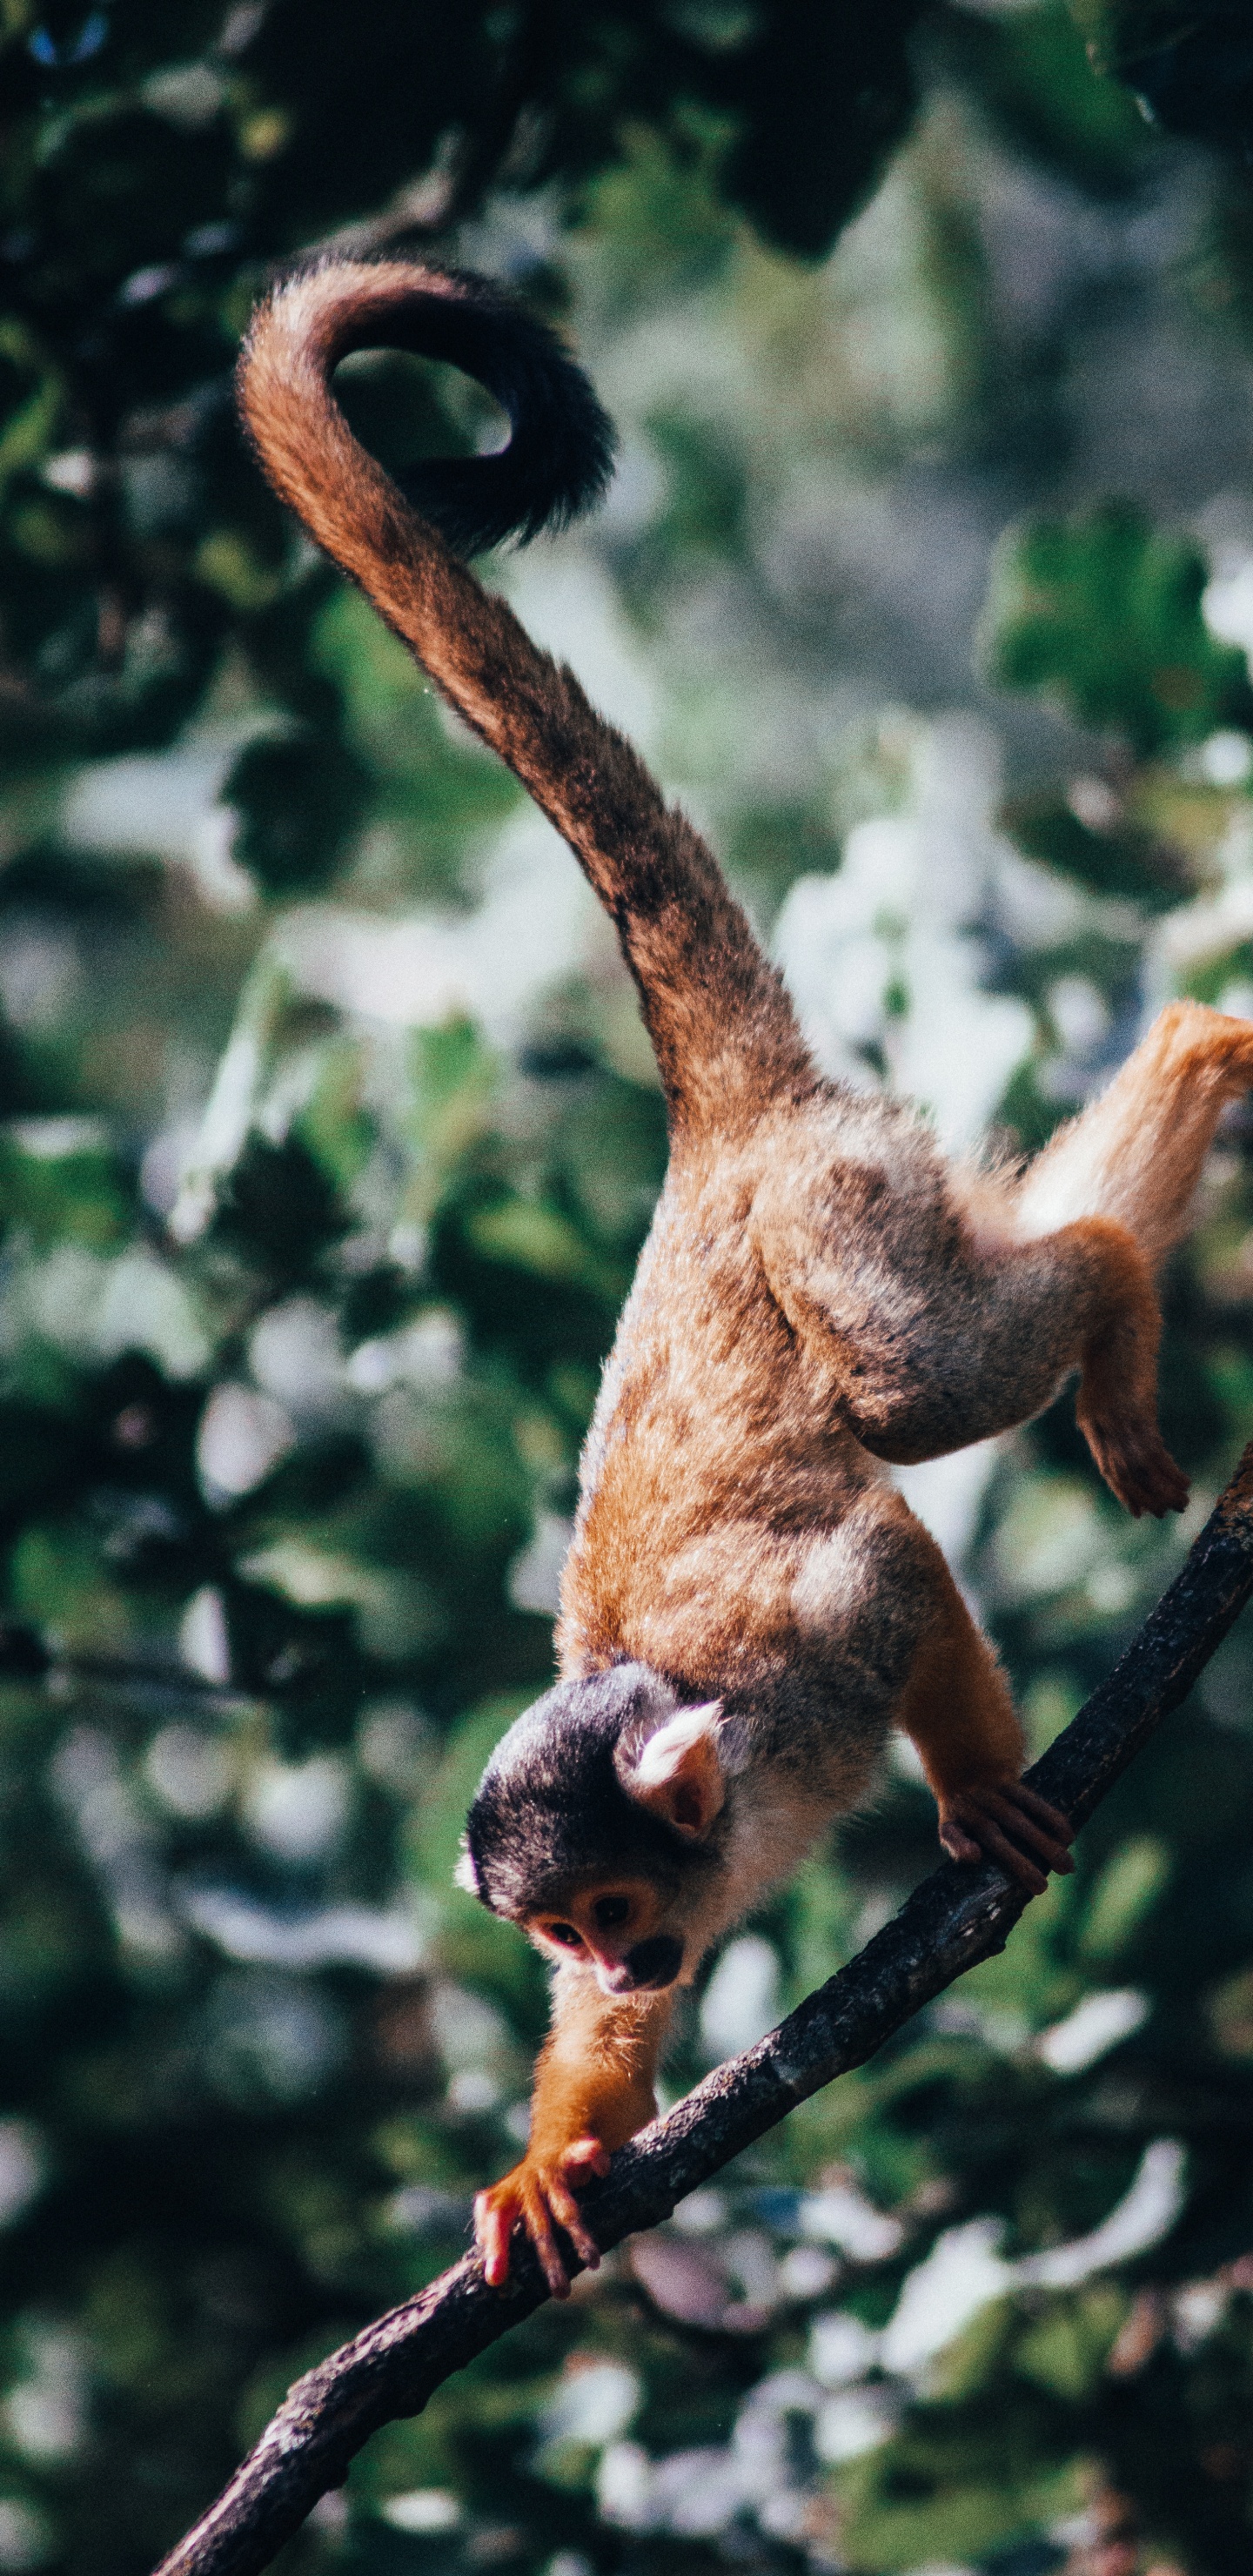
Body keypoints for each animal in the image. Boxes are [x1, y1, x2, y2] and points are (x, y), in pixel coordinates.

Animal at [238, 256, 1253, 2301]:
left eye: (615, 1898)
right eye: (566, 1939)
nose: (627, 1952)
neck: (736, 1813)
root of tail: (718, 1132)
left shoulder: (802, 1668)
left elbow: (889, 1558)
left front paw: (978, 1796)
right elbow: (602, 2077)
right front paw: (557, 2151)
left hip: (833, 1201)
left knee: (914, 1392)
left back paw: (1117, 1275)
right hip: (844, 1187)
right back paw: (1190, 1074)